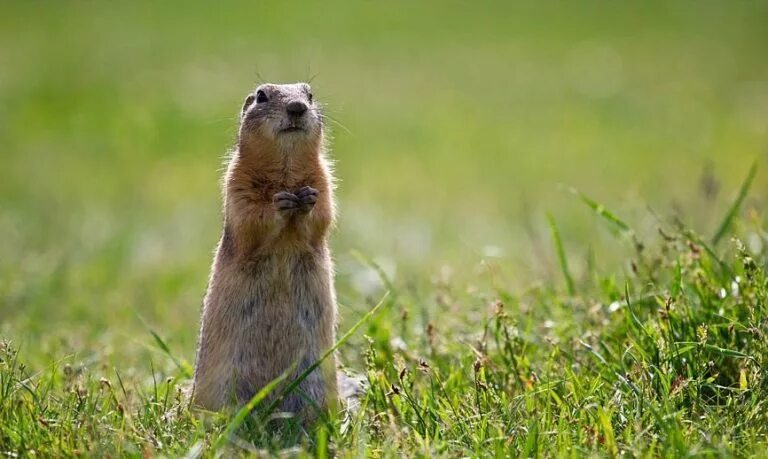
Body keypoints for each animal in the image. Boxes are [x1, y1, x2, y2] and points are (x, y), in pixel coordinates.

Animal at [191, 82, 336, 416]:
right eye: (261, 95)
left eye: (309, 94)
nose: (297, 107)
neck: (285, 172)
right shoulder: (236, 183)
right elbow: (251, 217)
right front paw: (279, 203)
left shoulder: (325, 179)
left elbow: (323, 212)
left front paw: (306, 200)